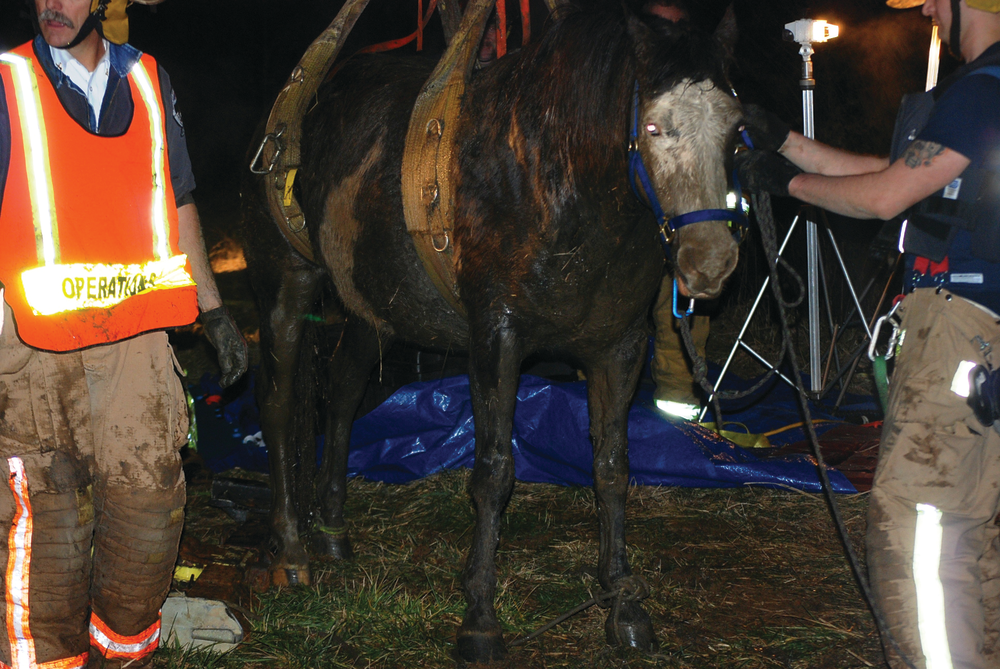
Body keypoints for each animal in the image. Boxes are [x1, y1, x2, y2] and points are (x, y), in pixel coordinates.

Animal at [241, 1, 742, 662]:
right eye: (654, 126)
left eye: (736, 128)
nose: (711, 262)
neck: (554, 183)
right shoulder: (496, 341)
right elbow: (495, 471)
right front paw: (479, 618)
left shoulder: (618, 347)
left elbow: (612, 467)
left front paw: (624, 602)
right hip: (287, 283)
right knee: (276, 404)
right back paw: (293, 550)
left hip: (373, 309)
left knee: (343, 394)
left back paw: (331, 530)